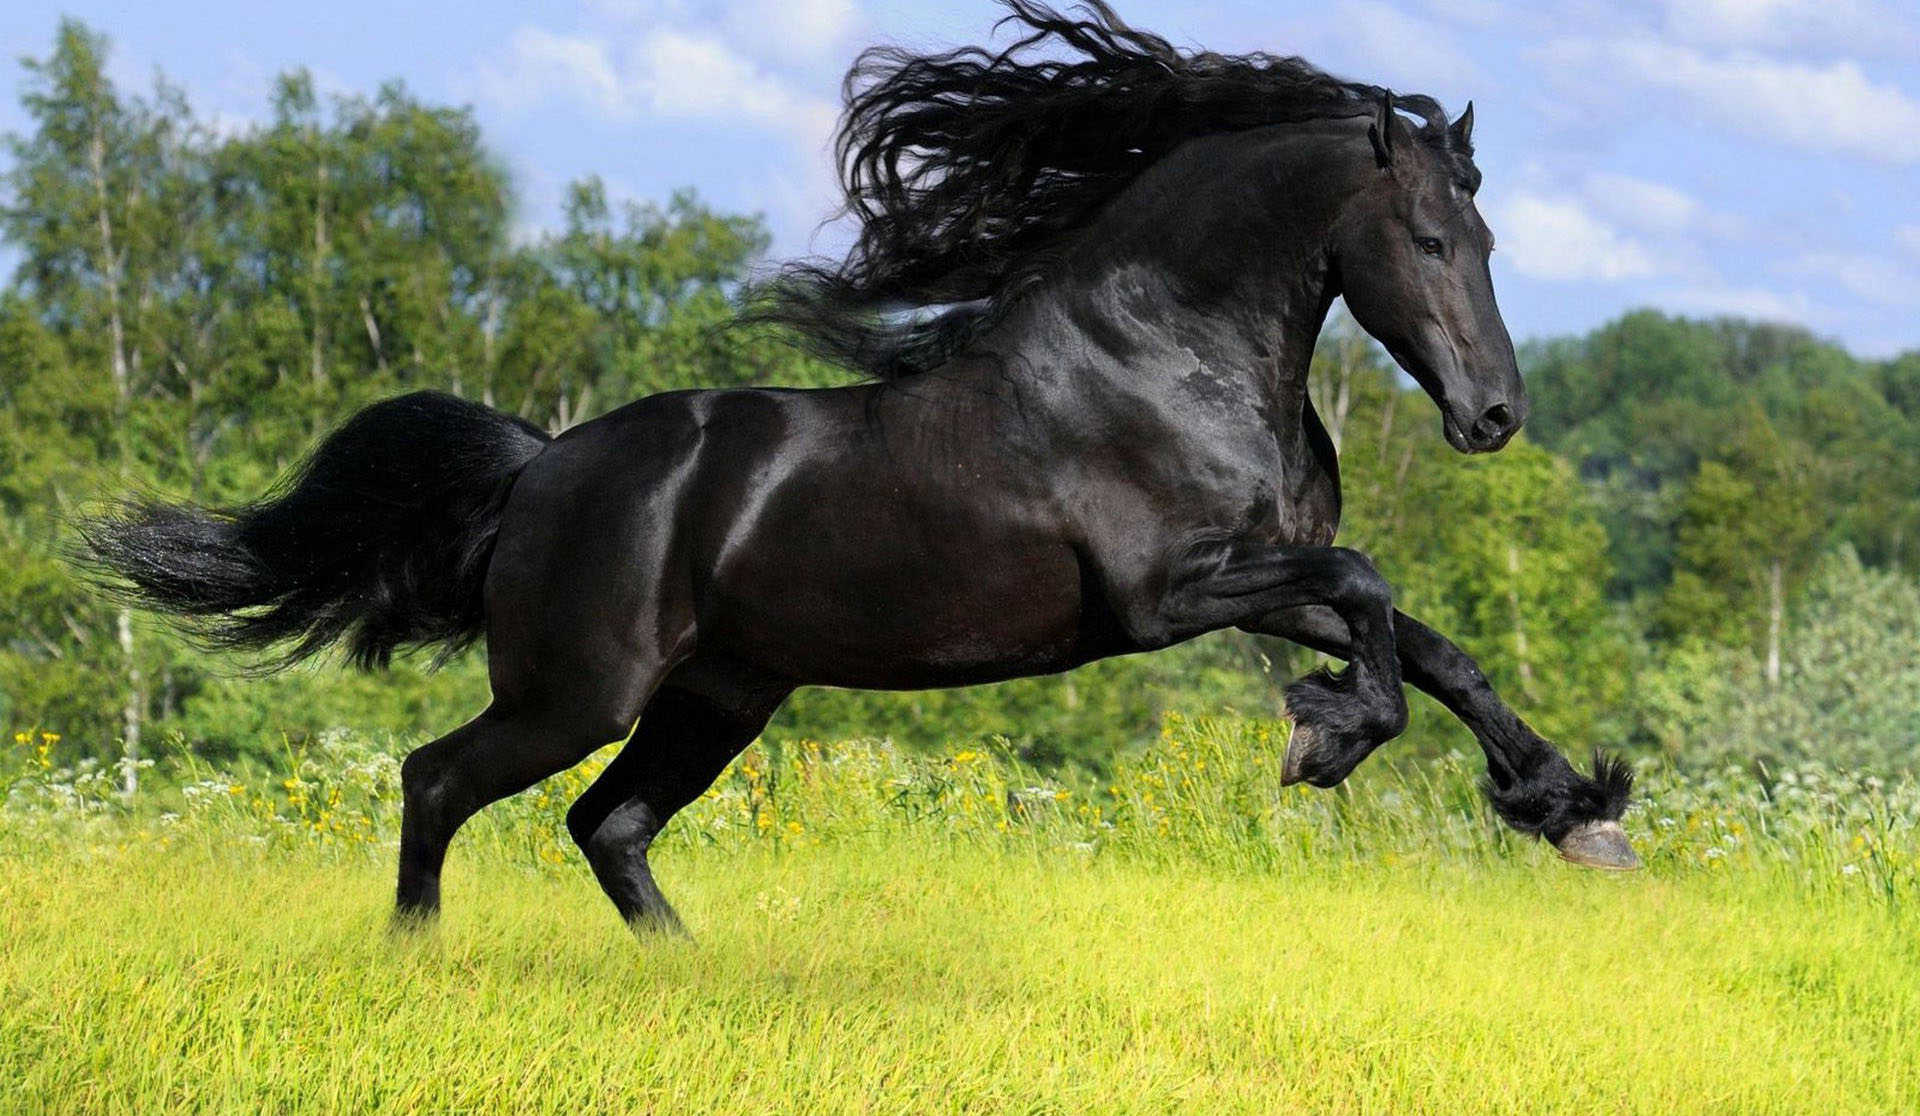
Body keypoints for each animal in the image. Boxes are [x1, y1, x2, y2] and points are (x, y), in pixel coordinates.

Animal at [82, 0, 1637, 935]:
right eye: (1429, 239)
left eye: (1488, 239)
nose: (1494, 416)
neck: (1167, 358)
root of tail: (538, 472)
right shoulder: (1164, 597)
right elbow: (1373, 596)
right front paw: (1326, 740)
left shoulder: (1258, 577)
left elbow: (1433, 645)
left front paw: (1573, 813)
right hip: (577, 691)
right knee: (438, 779)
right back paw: (418, 954)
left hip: (718, 696)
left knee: (607, 824)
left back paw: (691, 968)